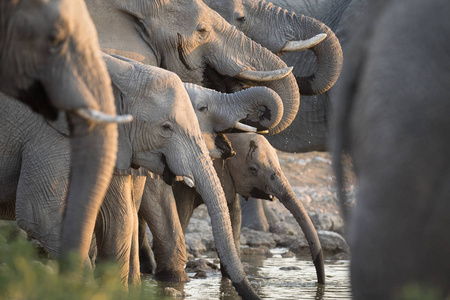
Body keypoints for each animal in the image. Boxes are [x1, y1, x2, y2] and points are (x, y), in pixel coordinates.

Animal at [139, 133, 326, 284]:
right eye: (253, 169)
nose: (320, 283)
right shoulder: (184, 184)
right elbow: (181, 214)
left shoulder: (228, 181)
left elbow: (233, 217)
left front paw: (228, 278)